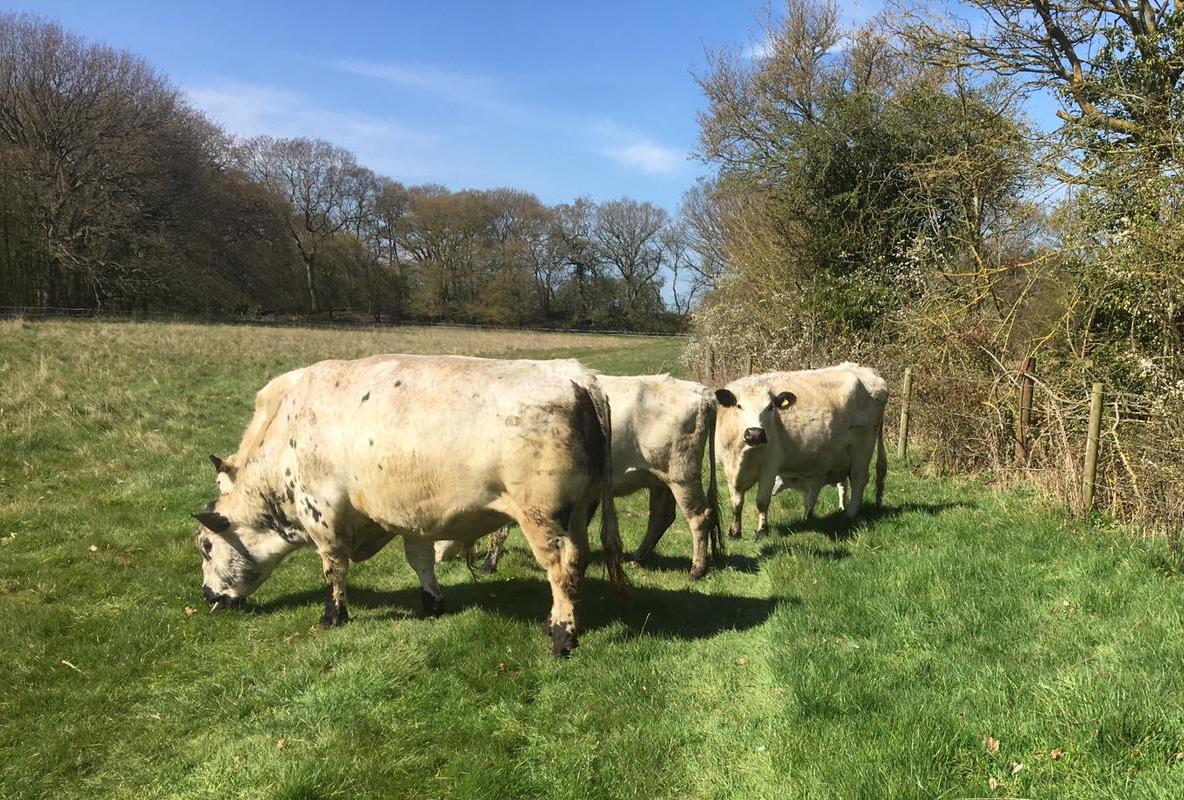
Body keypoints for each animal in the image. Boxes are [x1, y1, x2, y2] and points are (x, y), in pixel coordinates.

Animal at [194, 357, 625, 657]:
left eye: (206, 546)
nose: (206, 594)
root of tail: (578, 375)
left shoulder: (323, 514)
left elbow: (334, 570)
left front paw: (333, 615)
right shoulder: (410, 516)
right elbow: (420, 561)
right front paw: (432, 603)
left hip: (543, 519)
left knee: (564, 569)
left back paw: (562, 636)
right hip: (580, 511)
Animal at [442, 373, 724, 582]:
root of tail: (702, 392)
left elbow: (499, 531)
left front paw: (489, 563)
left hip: (682, 476)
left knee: (699, 517)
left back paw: (697, 569)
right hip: (659, 478)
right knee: (661, 517)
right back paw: (637, 558)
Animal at [710, 364, 890, 539]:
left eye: (770, 407)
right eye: (739, 406)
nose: (755, 434)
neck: (742, 454)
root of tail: (866, 370)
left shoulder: (770, 466)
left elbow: (761, 501)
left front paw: (762, 532)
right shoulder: (729, 467)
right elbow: (736, 502)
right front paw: (734, 533)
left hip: (863, 443)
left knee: (859, 478)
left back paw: (849, 515)